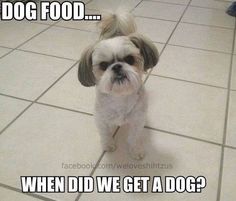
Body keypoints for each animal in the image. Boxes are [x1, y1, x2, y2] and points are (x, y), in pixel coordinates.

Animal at [78, 12, 159, 160]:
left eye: (129, 59)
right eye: (103, 65)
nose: (116, 67)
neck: (120, 96)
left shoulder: (137, 120)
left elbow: (134, 137)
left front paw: (135, 150)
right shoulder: (101, 118)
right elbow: (105, 133)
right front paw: (108, 145)